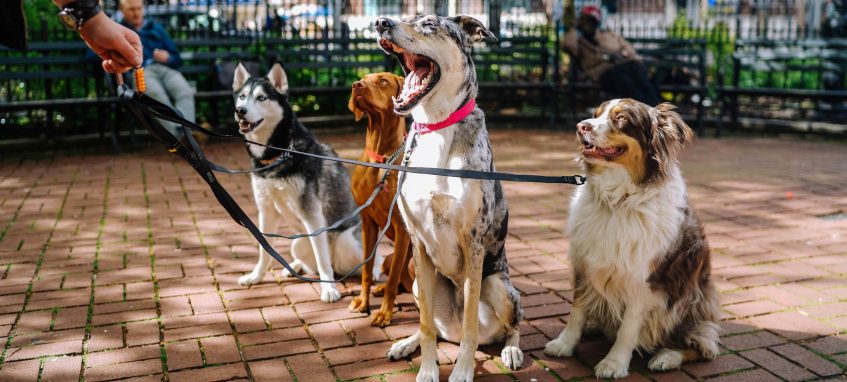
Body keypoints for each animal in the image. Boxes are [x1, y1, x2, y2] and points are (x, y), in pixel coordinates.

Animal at [232, 62, 368, 302]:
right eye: (242, 97)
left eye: (261, 98)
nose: (240, 111)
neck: (279, 154)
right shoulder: (266, 210)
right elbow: (264, 250)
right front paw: (256, 276)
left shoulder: (312, 214)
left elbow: (322, 259)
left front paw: (329, 289)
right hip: (298, 241)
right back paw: (294, 266)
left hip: (346, 242)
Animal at [348, 73, 414, 326]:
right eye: (362, 79)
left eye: (383, 80)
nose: (356, 85)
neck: (381, 159)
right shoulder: (367, 222)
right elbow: (367, 270)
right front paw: (363, 302)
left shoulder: (402, 227)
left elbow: (394, 279)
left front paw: (385, 313)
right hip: (387, 258)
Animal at [376, 15, 524, 382]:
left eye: (429, 24)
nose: (381, 22)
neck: (436, 127)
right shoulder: (417, 242)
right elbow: (427, 325)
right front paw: (428, 370)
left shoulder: (472, 242)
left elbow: (471, 326)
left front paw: (462, 371)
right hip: (418, 281)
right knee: (435, 326)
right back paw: (406, 343)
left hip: (499, 286)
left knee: (511, 326)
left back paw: (512, 350)